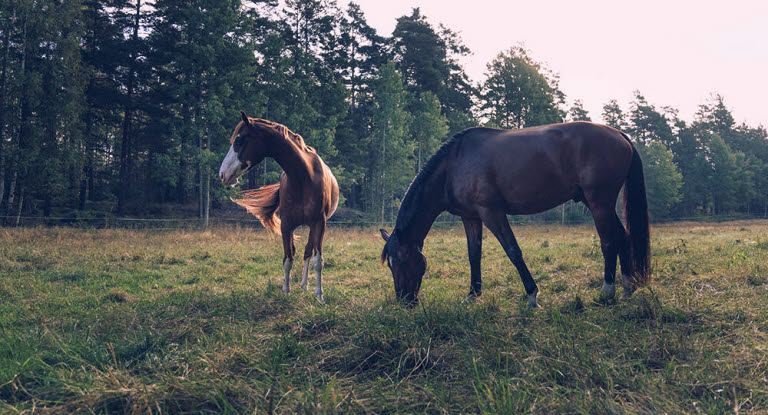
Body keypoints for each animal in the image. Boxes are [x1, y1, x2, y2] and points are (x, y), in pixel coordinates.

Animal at [219, 112, 340, 304]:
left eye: (238, 141)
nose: (222, 174)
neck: (303, 178)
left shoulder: (319, 223)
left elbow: (317, 260)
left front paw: (319, 295)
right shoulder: (286, 225)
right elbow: (288, 258)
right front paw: (286, 291)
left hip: (313, 226)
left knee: (308, 252)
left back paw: (305, 285)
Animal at [378, 122, 648, 308]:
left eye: (399, 260)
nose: (404, 301)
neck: (454, 165)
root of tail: (620, 135)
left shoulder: (492, 213)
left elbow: (513, 251)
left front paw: (532, 296)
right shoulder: (471, 217)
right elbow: (473, 255)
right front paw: (473, 294)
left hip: (599, 202)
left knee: (608, 241)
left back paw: (607, 291)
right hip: (598, 204)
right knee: (623, 237)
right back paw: (627, 287)